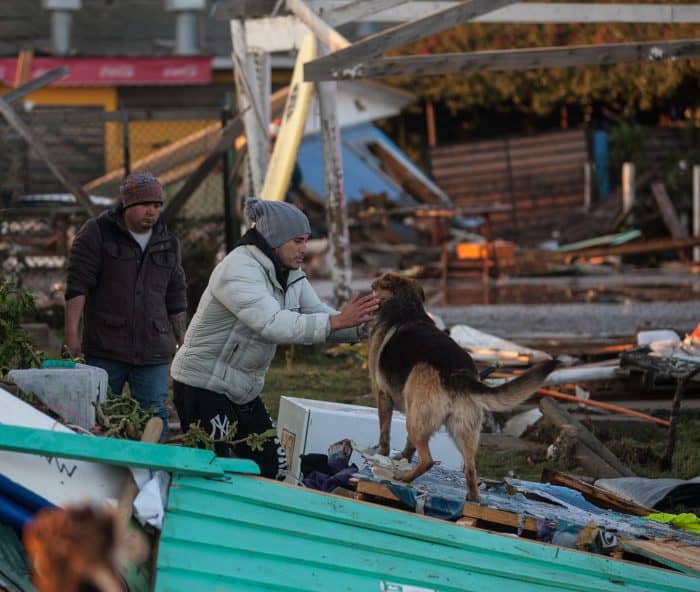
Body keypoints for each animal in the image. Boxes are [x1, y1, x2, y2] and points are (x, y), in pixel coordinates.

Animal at [366, 272, 556, 500]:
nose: (370, 287)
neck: (407, 305)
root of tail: (460, 375)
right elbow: (407, 448)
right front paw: (402, 458)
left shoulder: (383, 396)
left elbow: (384, 436)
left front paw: (383, 456)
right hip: (462, 432)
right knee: (470, 470)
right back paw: (472, 500)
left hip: (416, 421)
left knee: (427, 460)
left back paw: (404, 478)